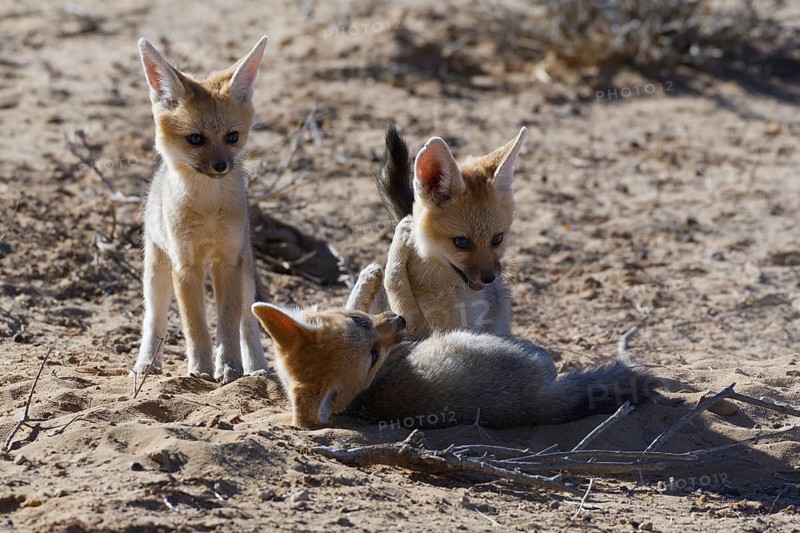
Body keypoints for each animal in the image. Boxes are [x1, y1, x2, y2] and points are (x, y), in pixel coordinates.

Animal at [132, 36, 270, 383]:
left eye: (232, 137)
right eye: (195, 139)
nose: (221, 166)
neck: (208, 209)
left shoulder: (228, 263)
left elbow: (229, 324)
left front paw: (230, 368)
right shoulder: (186, 265)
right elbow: (194, 324)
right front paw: (201, 369)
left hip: (246, 273)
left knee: (249, 322)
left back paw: (257, 368)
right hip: (156, 273)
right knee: (154, 319)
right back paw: (147, 363)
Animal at [252, 265, 656, 428]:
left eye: (359, 322)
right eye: (372, 358)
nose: (398, 322)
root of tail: (534, 406)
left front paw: (368, 278)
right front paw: (370, 278)